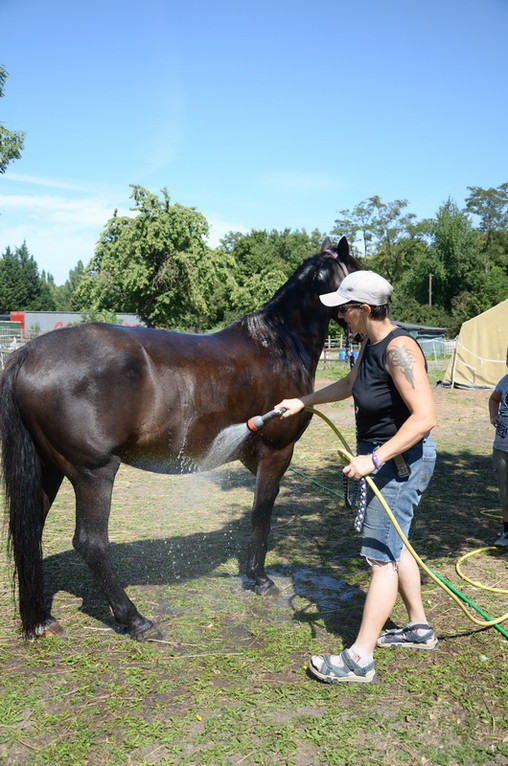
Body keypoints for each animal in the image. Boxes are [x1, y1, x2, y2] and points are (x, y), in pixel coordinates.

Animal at [0, 236, 360, 640]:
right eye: (357, 270)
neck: (277, 344)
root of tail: (28, 353)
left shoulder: (254, 457)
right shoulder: (276, 453)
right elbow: (262, 514)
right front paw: (260, 579)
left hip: (49, 470)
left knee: (30, 532)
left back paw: (42, 620)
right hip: (93, 473)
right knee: (90, 543)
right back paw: (136, 620)